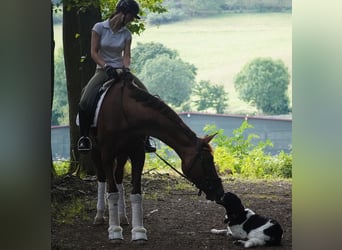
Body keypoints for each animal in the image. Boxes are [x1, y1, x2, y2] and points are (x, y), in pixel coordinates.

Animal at [89, 73, 226, 243]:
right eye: (206, 161)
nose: (220, 191)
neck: (126, 113)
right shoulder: (107, 155)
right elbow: (112, 192)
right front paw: (114, 230)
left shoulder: (137, 154)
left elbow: (136, 193)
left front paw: (139, 231)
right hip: (96, 152)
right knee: (102, 178)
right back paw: (100, 215)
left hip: (122, 155)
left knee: (118, 177)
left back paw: (122, 216)